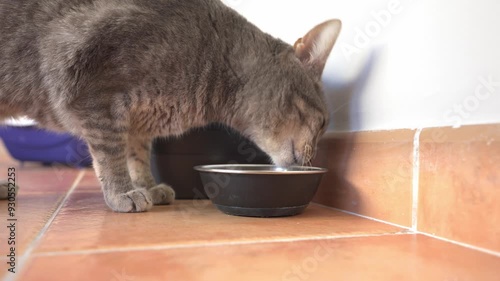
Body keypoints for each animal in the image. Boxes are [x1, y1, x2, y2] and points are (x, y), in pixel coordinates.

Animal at [0, 0, 340, 210]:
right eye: (323, 122)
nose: (314, 157)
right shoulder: (96, 96)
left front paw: (148, 186)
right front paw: (122, 192)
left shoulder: (134, 120)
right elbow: (111, 154)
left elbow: (137, 155)